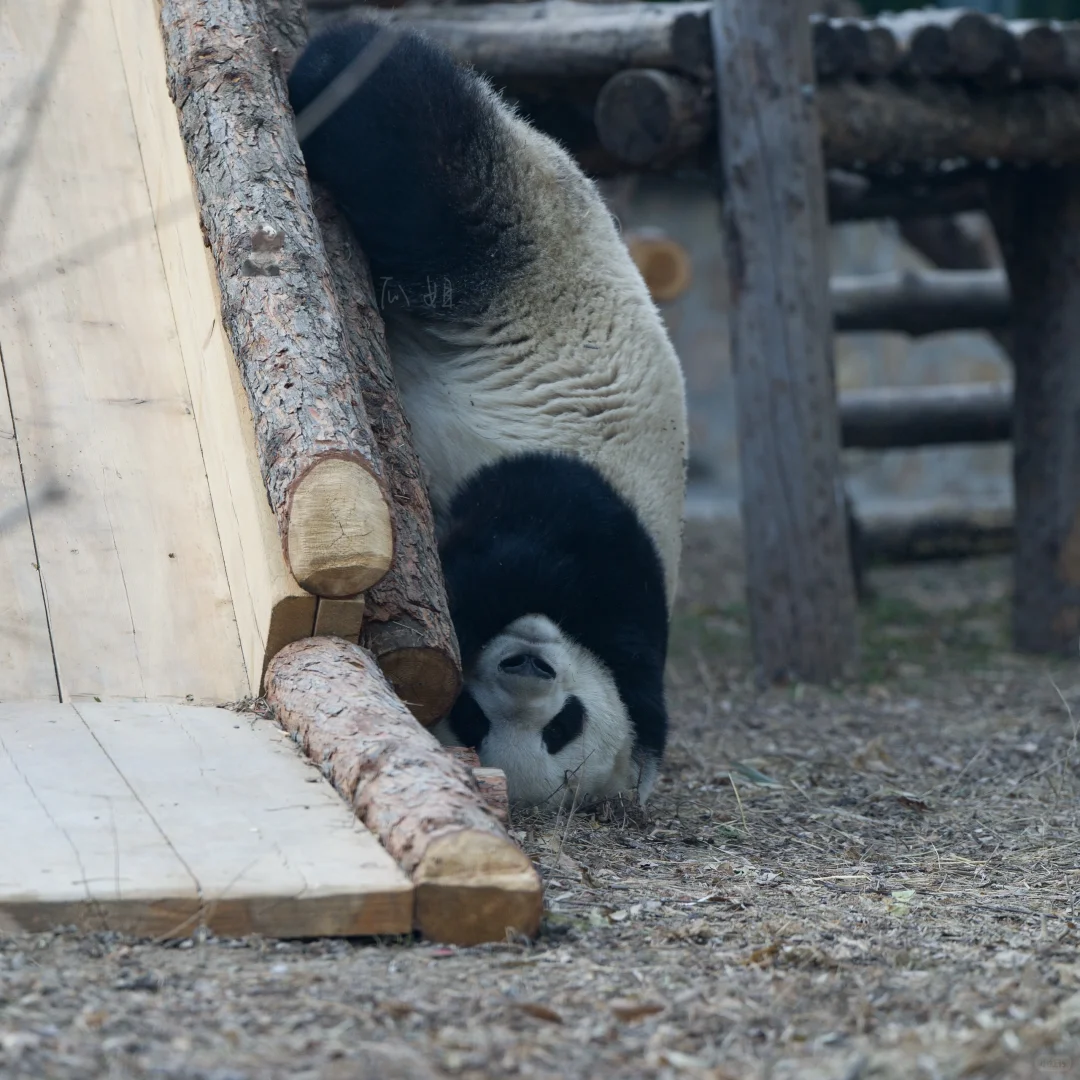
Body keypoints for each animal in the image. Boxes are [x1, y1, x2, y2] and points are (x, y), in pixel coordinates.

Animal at [287, 21, 686, 807]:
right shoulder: (600, 535)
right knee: (417, 143)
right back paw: (332, 60)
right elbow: (498, 565)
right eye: (472, 716)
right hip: (527, 242)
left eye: (558, 729)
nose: (528, 667)